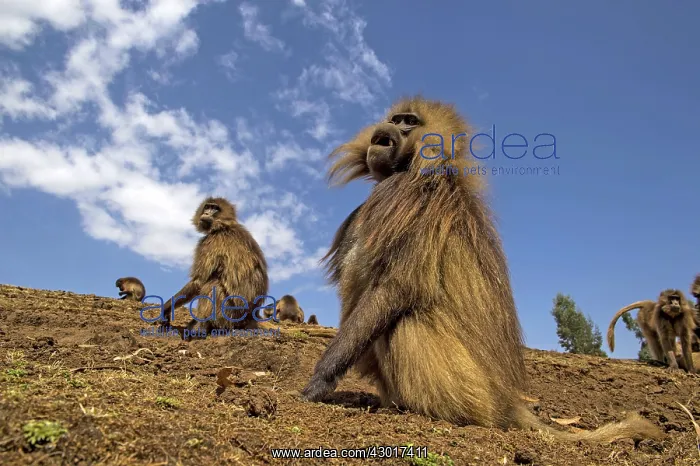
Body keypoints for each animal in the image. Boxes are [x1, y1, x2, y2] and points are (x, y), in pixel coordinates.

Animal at [159, 197, 269, 338]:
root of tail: (250, 318)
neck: (224, 226)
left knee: (212, 285)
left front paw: (166, 308)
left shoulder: (209, 242)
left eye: (215, 208)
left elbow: (198, 281)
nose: (206, 213)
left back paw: (200, 330)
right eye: (207, 207)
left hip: (230, 315)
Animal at [300, 96, 665, 443]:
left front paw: (319, 380)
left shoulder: (408, 195)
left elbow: (397, 287)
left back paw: (413, 410)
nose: (384, 131)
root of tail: (508, 403)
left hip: (467, 390)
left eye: (409, 122)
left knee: (401, 321)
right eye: (396, 119)